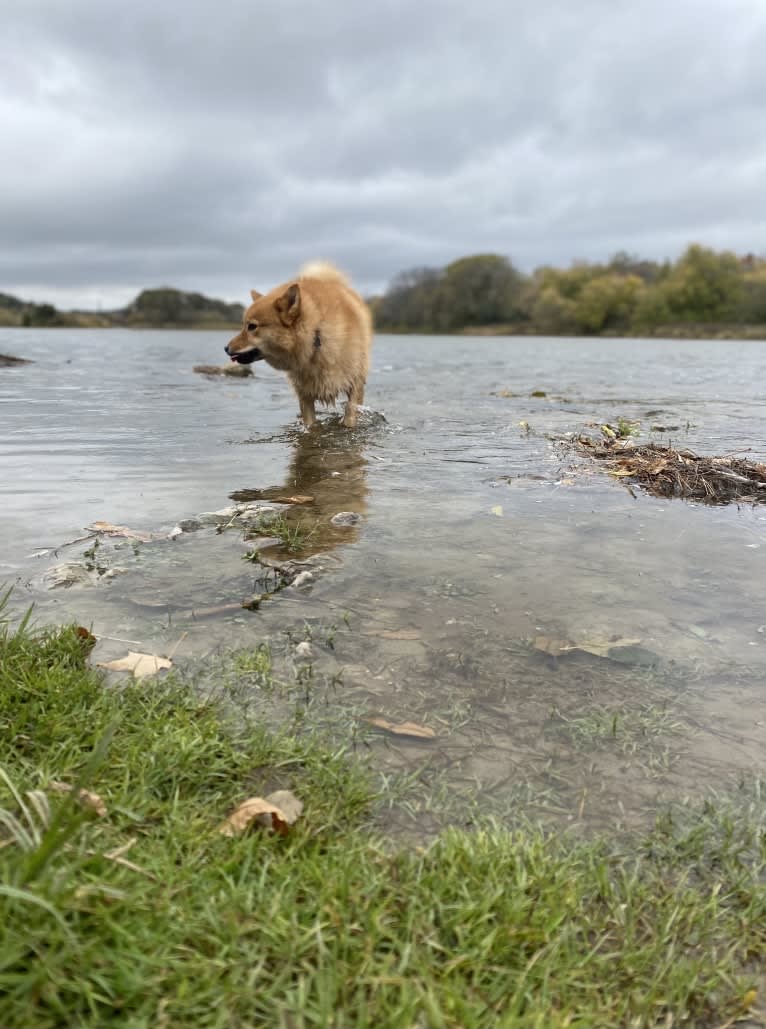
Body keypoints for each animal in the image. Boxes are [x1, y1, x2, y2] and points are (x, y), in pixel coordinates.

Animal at [224, 265, 370, 430]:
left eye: (252, 326)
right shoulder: (305, 396)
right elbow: (310, 423)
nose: (225, 348)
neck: (316, 338)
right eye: (244, 325)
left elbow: (350, 413)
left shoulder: (355, 384)